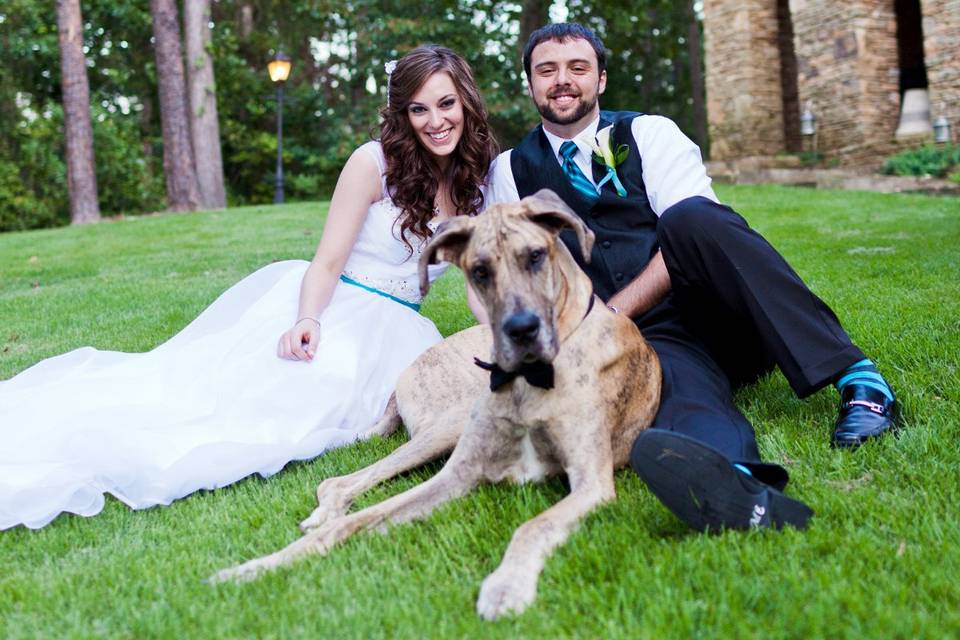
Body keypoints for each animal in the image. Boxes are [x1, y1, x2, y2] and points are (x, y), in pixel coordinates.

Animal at [210, 190, 660, 620]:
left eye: (535, 256)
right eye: (480, 271)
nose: (521, 330)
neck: (526, 379)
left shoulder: (591, 483)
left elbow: (535, 525)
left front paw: (506, 585)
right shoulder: (456, 475)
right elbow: (358, 521)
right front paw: (257, 567)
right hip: (448, 425)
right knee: (338, 483)